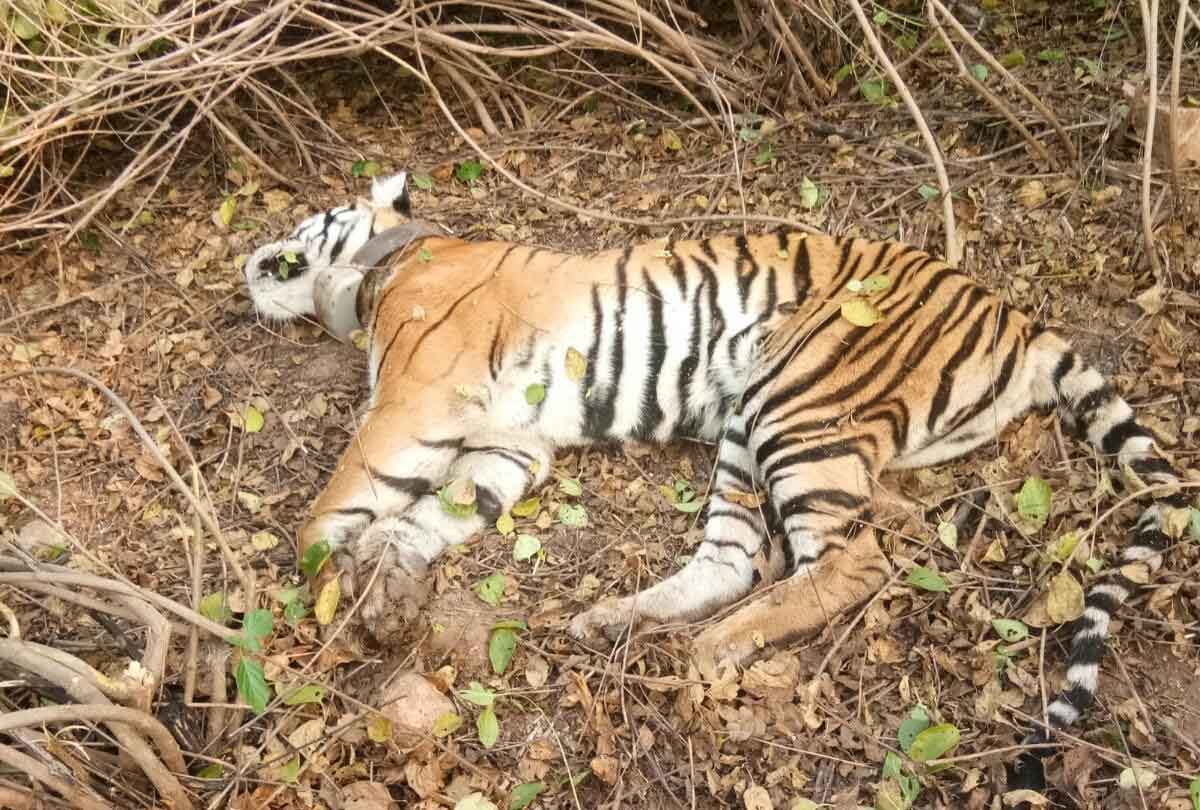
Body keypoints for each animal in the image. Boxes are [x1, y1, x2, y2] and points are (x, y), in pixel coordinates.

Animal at [244, 171, 1191, 787]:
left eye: (307, 219)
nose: (253, 257)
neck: (389, 266)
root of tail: (1013, 314)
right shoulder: (510, 444)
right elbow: (429, 514)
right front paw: (388, 588)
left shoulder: (415, 395)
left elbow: (336, 499)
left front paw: (329, 582)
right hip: (747, 420)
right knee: (739, 559)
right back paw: (617, 622)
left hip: (800, 399)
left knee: (854, 559)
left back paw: (711, 648)